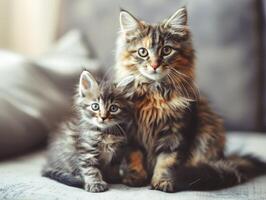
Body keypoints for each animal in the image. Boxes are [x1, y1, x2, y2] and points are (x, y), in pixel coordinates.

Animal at [114, 7, 266, 192]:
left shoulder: (176, 133)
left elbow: (167, 161)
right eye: (143, 52)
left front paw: (163, 181)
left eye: (166, 50)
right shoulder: (131, 133)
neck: (155, 94)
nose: (155, 65)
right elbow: (134, 156)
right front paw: (135, 177)